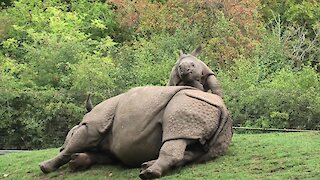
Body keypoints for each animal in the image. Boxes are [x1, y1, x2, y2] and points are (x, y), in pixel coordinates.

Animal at [40, 86, 232, 179]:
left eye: (69, 134)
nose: (59, 146)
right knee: (199, 152)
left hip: (189, 103)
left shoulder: (91, 127)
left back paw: (148, 174)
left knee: (176, 133)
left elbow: (71, 147)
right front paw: (77, 162)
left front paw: (45, 166)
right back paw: (146, 166)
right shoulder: (110, 150)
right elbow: (99, 156)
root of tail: (223, 108)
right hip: (215, 120)